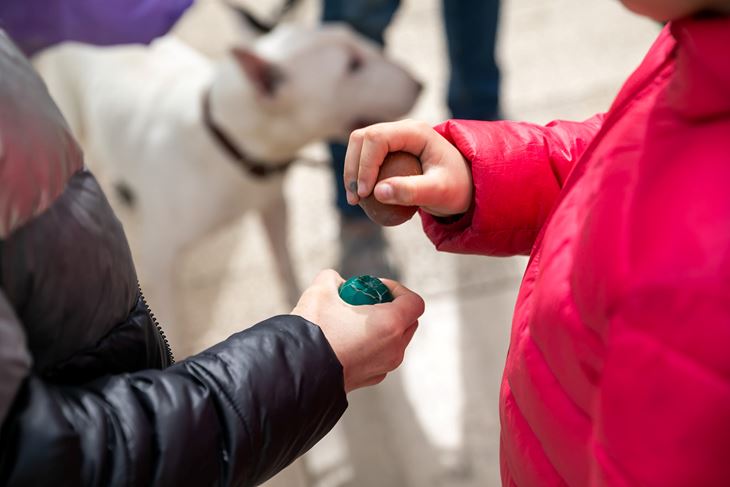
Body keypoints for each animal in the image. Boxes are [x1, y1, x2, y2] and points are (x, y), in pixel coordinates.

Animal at [35, 24, 420, 352]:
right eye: (352, 66)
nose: (420, 83)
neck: (227, 141)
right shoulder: (161, 258)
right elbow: (170, 321)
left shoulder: (273, 206)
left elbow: (284, 261)